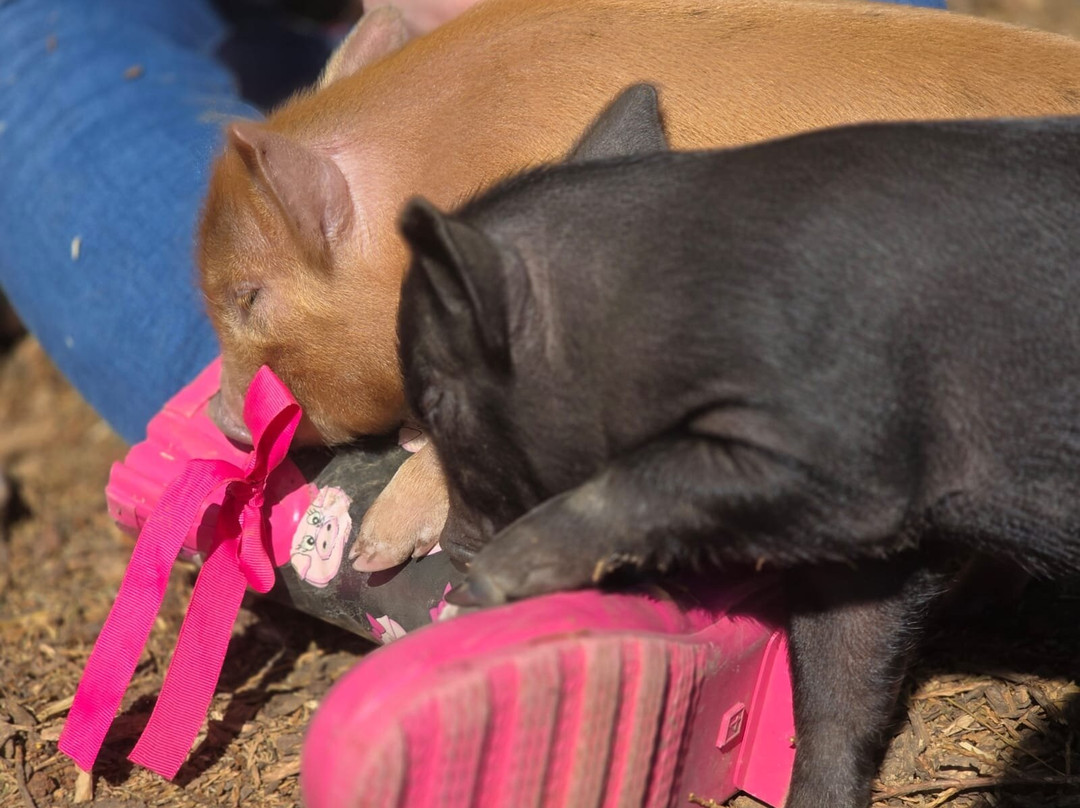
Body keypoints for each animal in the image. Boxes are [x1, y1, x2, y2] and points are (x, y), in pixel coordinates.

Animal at [395, 86, 1080, 807]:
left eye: (436, 401)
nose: (458, 554)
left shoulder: (847, 462)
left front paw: (492, 584)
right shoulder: (872, 554)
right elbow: (840, 676)